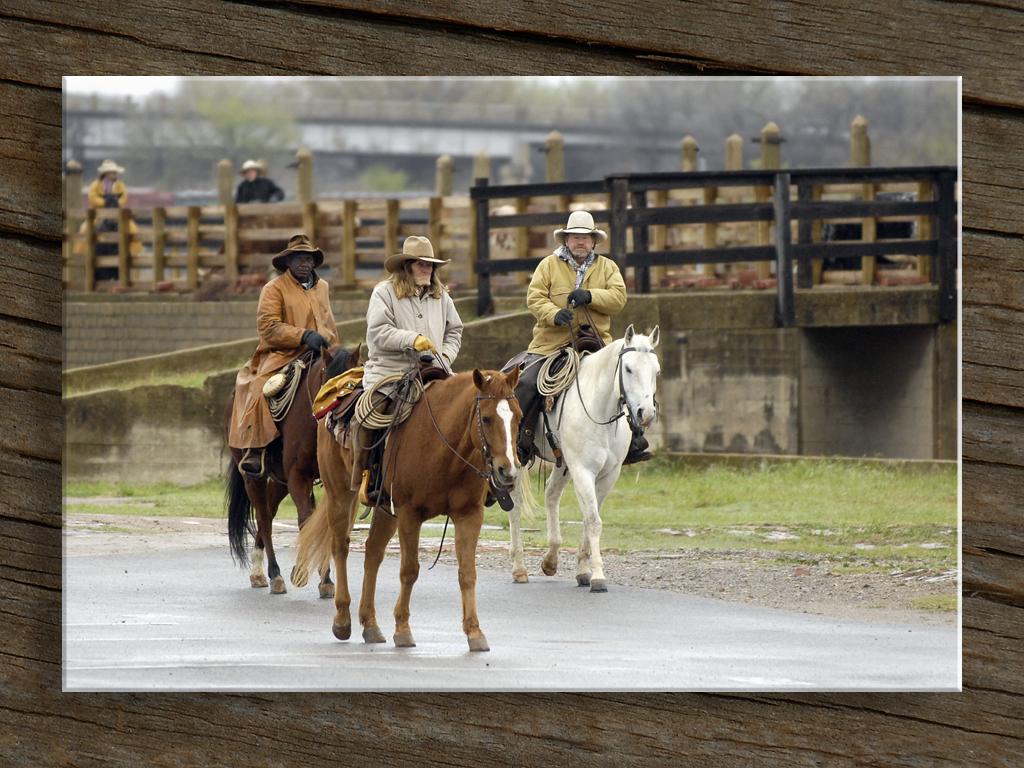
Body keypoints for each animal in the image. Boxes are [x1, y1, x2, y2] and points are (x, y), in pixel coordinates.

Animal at [224, 346, 360, 598]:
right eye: (330, 383)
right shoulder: (299, 476)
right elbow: (306, 521)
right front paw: (301, 571)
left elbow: (325, 525)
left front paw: (326, 579)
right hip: (252, 476)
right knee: (264, 517)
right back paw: (273, 573)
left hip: (281, 481)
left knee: (268, 512)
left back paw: (258, 571)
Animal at [294, 368, 520, 655]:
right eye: (487, 418)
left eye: (519, 417)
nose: (508, 471)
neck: (443, 447)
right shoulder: (410, 514)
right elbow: (409, 570)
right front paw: (402, 629)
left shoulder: (469, 514)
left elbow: (467, 574)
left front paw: (475, 631)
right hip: (339, 494)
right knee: (340, 547)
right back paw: (343, 619)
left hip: (386, 509)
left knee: (373, 552)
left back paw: (370, 623)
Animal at [505, 325, 663, 593]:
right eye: (628, 368)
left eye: (656, 370)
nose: (646, 414)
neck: (600, 410)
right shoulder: (583, 470)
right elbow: (593, 520)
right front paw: (598, 575)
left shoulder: (609, 474)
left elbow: (591, 517)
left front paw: (583, 570)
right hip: (518, 460)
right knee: (515, 506)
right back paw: (518, 569)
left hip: (564, 464)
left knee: (551, 494)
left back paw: (551, 559)